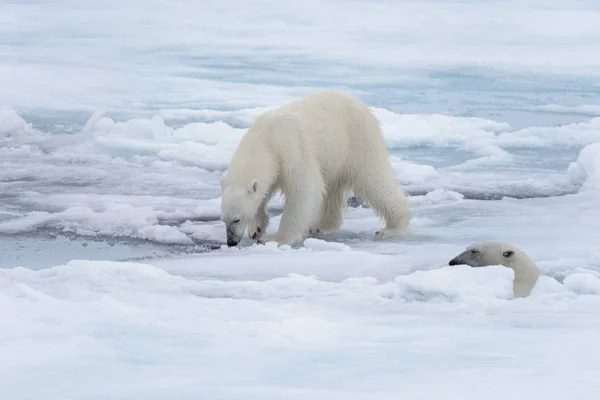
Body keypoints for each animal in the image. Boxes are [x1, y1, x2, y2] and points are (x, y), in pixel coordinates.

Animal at [220, 89, 412, 247]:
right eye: (223, 219)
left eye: (236, 219)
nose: (231, 242)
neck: (265, 140)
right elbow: (265, 191)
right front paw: (256, 228)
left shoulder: (290, 149)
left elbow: (304, 189)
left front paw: (276, 239)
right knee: (332, 189)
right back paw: (322, 227)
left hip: (358, 140)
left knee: (373, 180)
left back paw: (391, 228)